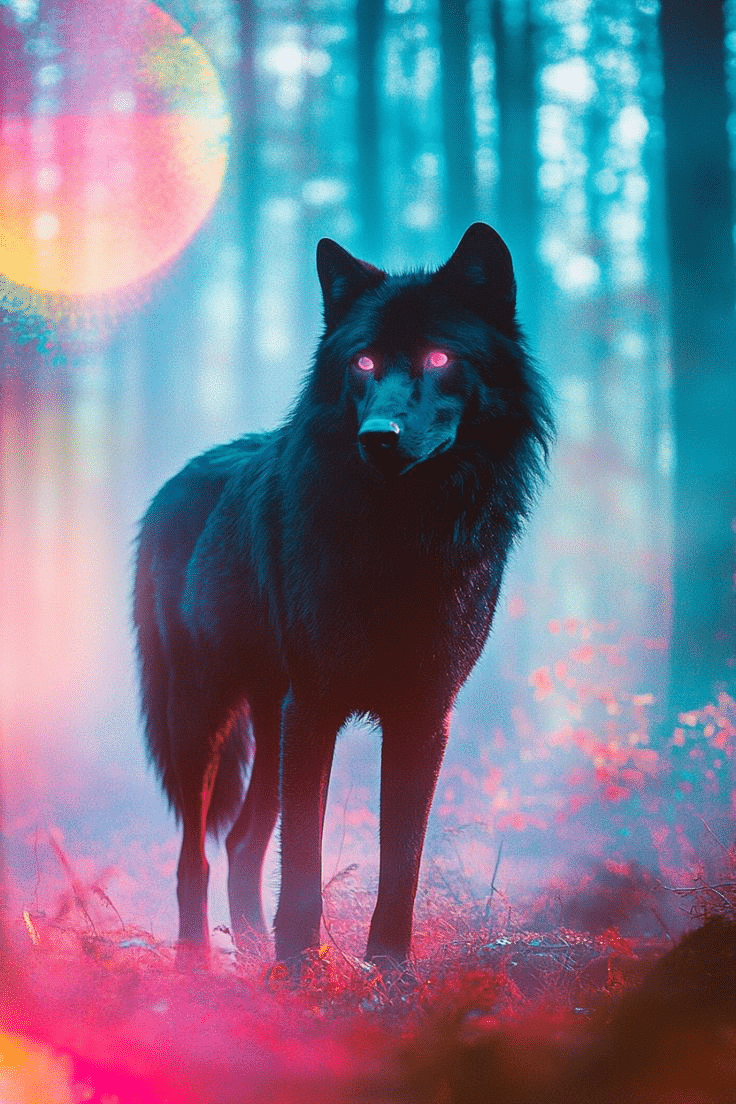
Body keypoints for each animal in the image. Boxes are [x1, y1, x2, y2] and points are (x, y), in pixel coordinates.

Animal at [133, 223, 554, 967]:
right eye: (362, 362)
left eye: (439, 355)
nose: (378, 436)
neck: (401, 538)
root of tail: (170, 484)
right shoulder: (316, 707)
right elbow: (303, 859)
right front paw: (302, 970)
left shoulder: (424, 715)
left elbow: (401, 862)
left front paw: (387, 970)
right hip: (204, 718)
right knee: (196, 857)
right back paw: (199, 967)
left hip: (269, 723)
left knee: (242, 843)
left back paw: (250, 957)